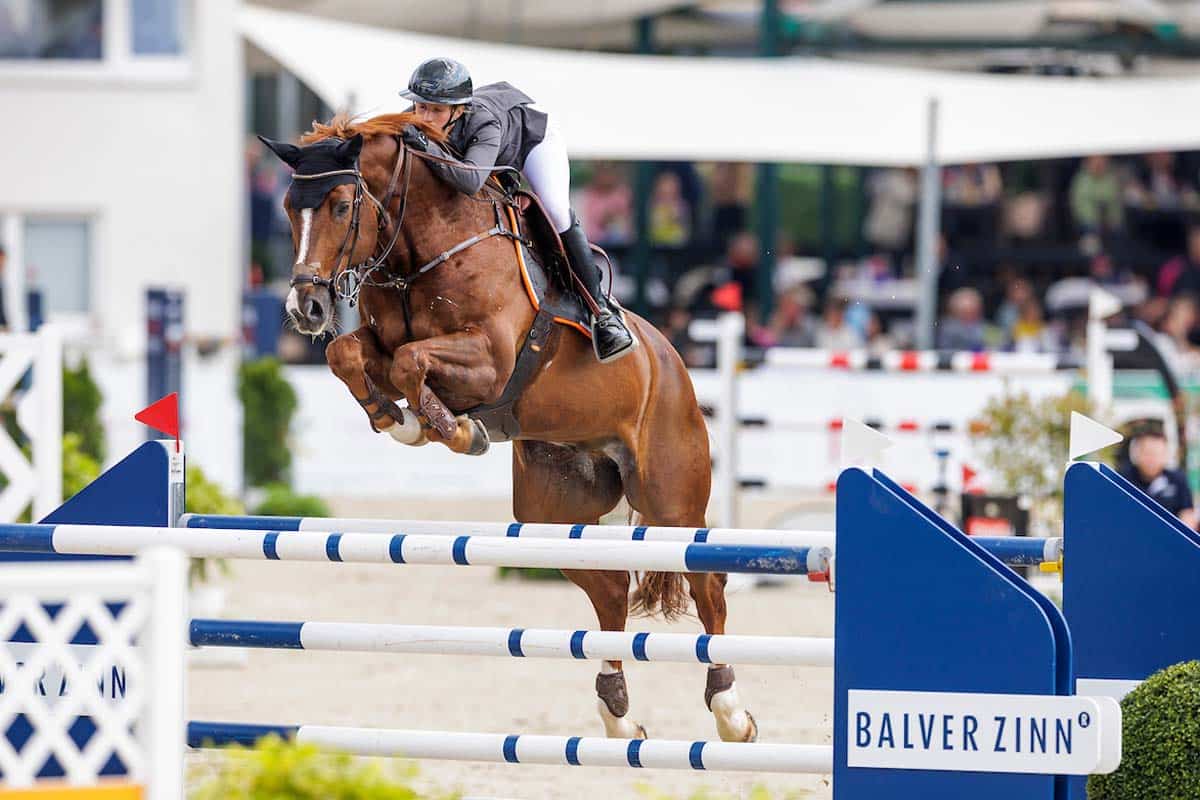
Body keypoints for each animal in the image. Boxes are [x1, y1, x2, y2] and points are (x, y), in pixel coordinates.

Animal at [258, 113, 753, 743]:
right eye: (287, 208)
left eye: (343, 206)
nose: (306, 310)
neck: (420, 254)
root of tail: (671, 359)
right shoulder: (380, 344)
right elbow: (348, 354)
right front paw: (398, 418)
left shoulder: (489, 360)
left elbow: (410, 361)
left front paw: (451, 429)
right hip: (555, 510)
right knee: (610, 588)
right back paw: (618, 715)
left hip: (670, 497)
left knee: (705, 581)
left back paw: (731, 711)